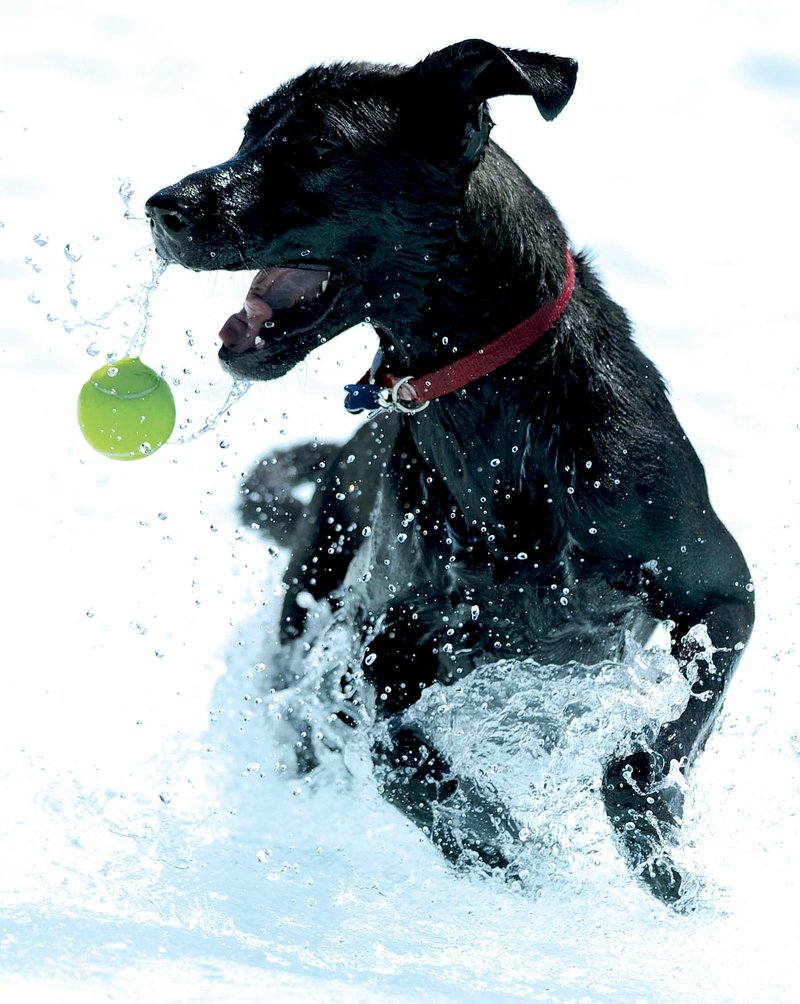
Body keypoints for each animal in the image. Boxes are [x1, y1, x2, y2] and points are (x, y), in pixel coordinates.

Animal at [145, 41, 754, 903]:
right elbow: (398, 757)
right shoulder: (382, 646)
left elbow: (655, 747)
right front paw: (499, 848)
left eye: (316, 147)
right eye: (250, 132)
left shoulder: (724, 595)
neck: (505, 426)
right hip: (313, 592)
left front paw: (653, 848)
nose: (162, 207)